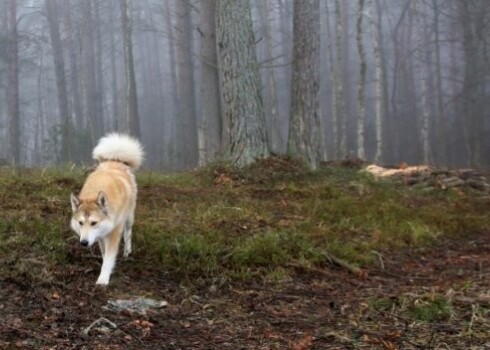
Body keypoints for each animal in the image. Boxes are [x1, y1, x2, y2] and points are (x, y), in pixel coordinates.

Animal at [70, 133, 145, 286]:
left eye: (93, 223)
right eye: (80, 223)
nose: (84, 243)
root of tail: (115, 159)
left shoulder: (113, 233)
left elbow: (109, 258)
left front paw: (103, 279)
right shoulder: (100, 235)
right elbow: (104, 255)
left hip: (129, 218)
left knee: (128, 233)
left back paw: (127, 252)